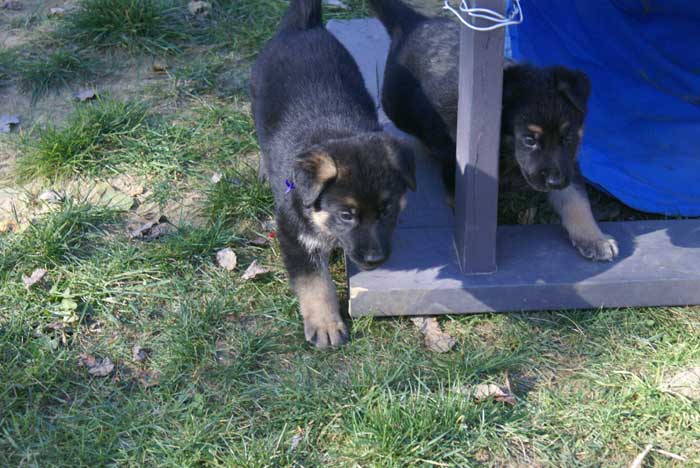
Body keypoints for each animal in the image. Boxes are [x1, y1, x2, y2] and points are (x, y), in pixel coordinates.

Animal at [252, 0, 416, 348]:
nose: (374, 260)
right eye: (346, 214)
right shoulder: (294, 235)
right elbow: (315, 284)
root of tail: (304, 27)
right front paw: (326, 324)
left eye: (387, 210)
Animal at [366, 0, 616, 264]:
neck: (506, 146)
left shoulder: (568, 163)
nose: (554, 182)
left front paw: (594, 238)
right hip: (395, 105)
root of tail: (415, 22)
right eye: (529, 140)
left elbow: (576, 198)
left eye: (567, 137)